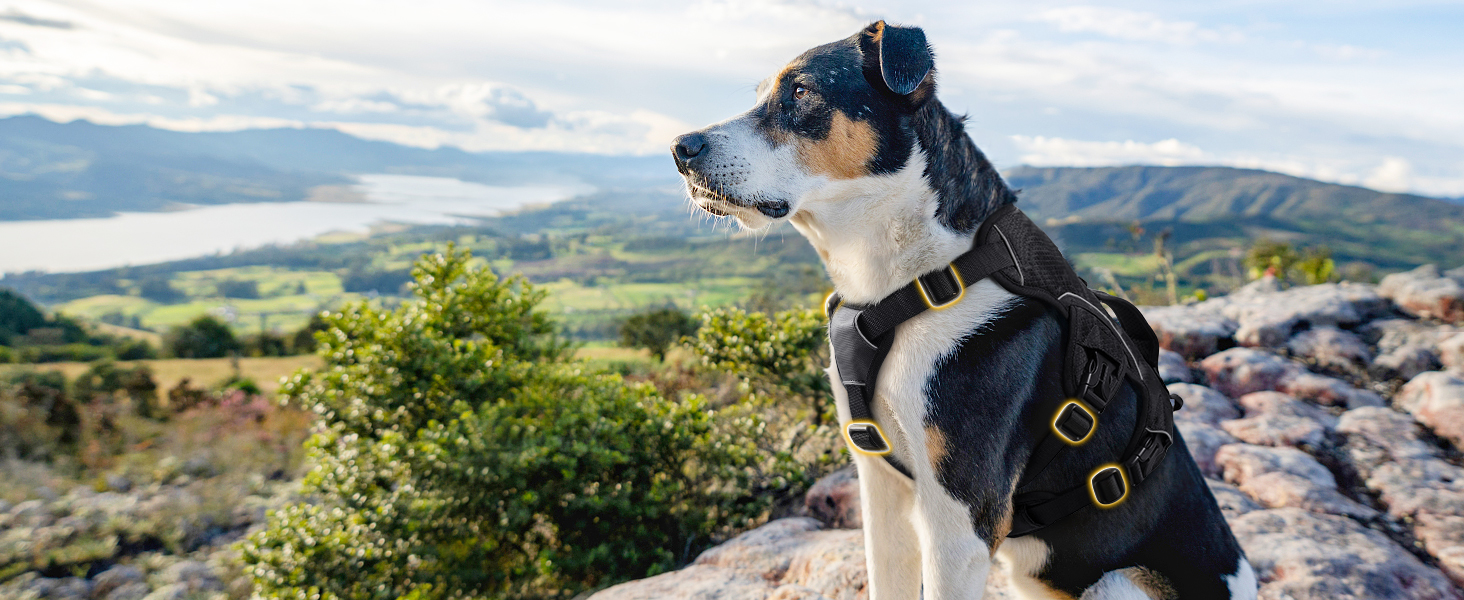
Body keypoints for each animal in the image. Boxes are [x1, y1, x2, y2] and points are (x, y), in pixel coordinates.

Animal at [673, 19, 1259, 600]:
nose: (680, 148)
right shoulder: (880, 487)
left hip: (1118, 583)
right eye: (759, 95)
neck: (910, 282)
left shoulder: (960, 519)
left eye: (800, 91)